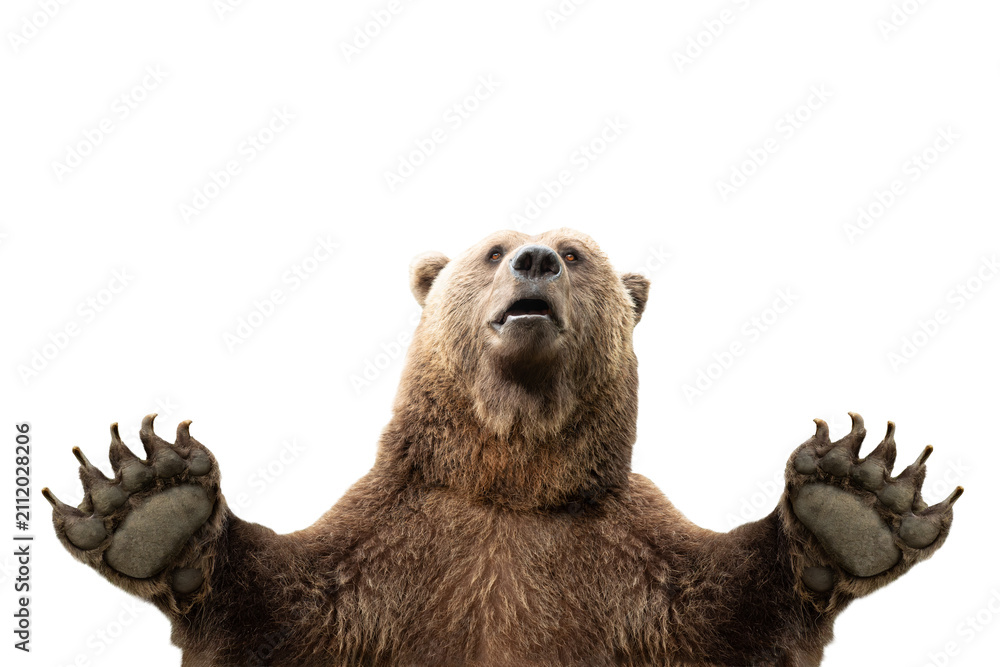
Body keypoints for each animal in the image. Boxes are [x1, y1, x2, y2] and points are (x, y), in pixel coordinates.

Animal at [45, 228, 962, 666]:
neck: (512, 482)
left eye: (578, 252)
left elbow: (729, 609)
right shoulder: (391, 550)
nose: (536, 259)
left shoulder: (628, 563)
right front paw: (150, 500)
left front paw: (854, 500)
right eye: (492, 249)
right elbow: (279, 608)